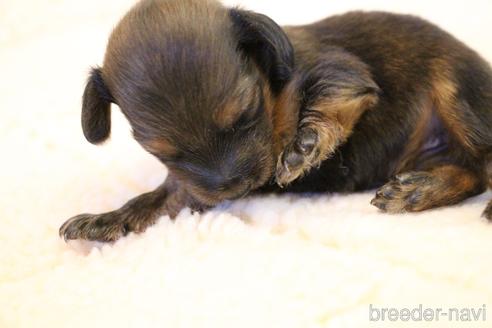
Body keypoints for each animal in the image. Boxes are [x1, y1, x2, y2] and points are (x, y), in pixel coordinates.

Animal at [59, 0, 492, 241]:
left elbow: (327, 100)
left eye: (245, 113)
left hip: (455, 92)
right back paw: (417, 190)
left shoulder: (339, 71)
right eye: (165, 153)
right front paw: (106, 219)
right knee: (471, 173)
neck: (269, 91)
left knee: (483, 165)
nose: (235, 186)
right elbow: (158, 201)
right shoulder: (191, 188)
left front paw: (305, 144)